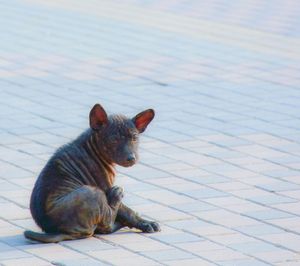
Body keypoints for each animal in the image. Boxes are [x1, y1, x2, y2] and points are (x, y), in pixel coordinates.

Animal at [24, 104, 159, 243]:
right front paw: (145, 223)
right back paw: (116, 195)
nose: (131, 158)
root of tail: (61, 231)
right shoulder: (104, 186)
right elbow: (127, 211)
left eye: (134, 138)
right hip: (93, 192)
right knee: (106, 224)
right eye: (114, 140)